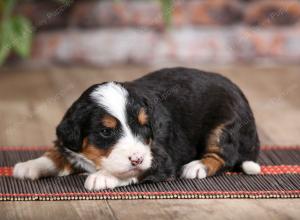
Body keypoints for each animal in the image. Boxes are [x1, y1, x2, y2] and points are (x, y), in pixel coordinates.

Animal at [12, 67, 260, 191]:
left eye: (144, 126)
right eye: (106, 132)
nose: (137, 158)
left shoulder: (160, 157)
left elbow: (133, 172)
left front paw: (103, 177)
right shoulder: (70, 143)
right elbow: (57, 153)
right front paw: (29, 165)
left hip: (224, 127)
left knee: (223, 156)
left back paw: (197, 166)